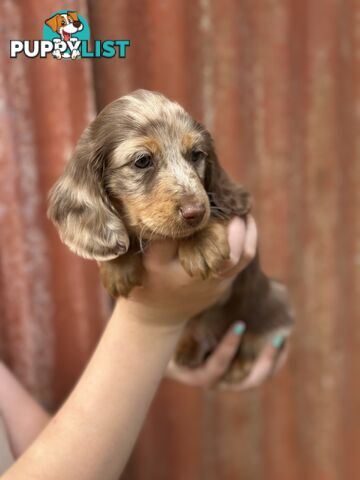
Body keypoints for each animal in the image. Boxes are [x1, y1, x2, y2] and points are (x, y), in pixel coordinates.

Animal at [47, 90, 292, 382]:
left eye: (196, 154)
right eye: (142, 160)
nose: (195, 212)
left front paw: (200, 243)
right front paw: (117, 266)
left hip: (273, 298)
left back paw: (239, 361)